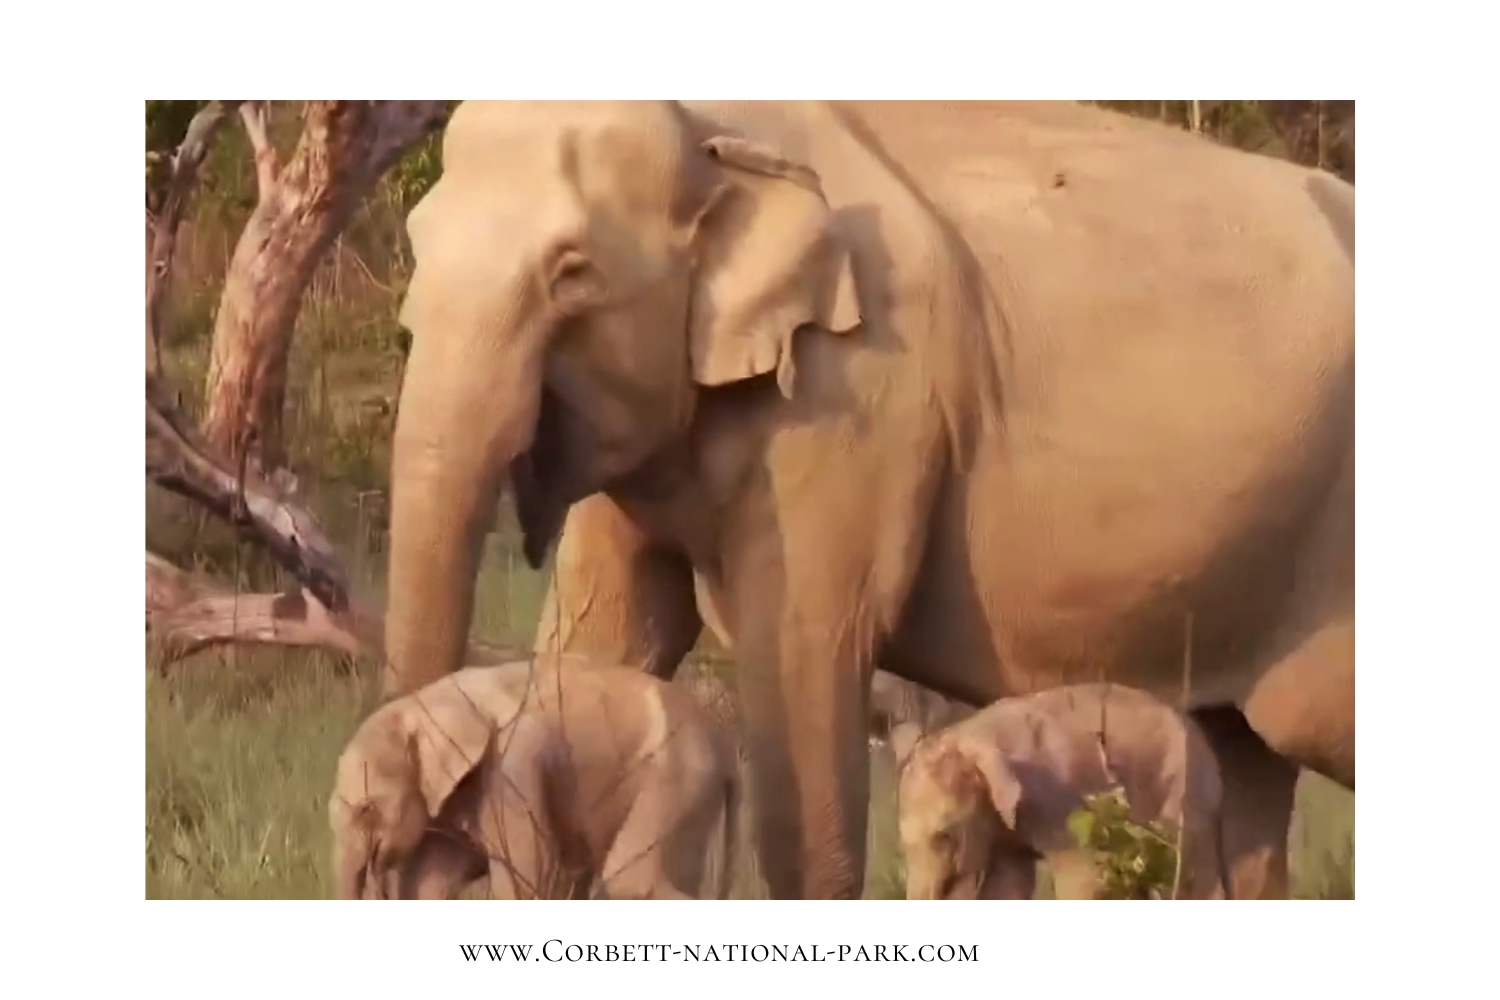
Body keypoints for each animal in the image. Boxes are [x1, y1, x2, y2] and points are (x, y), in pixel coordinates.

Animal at [330, 654, 740, 900]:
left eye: (367, 809)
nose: (377, 882)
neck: (423, 702)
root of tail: (723, 742)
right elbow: (431, 880)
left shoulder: (512, 767)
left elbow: (526, 876)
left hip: (677, 777)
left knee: (632, 880)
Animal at [891, 683, 1228, 900]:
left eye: (944, 836)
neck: (971, 732)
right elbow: (1009, 880)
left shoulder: (1062, 799)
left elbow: (1082, 876)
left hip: (1184, 789)